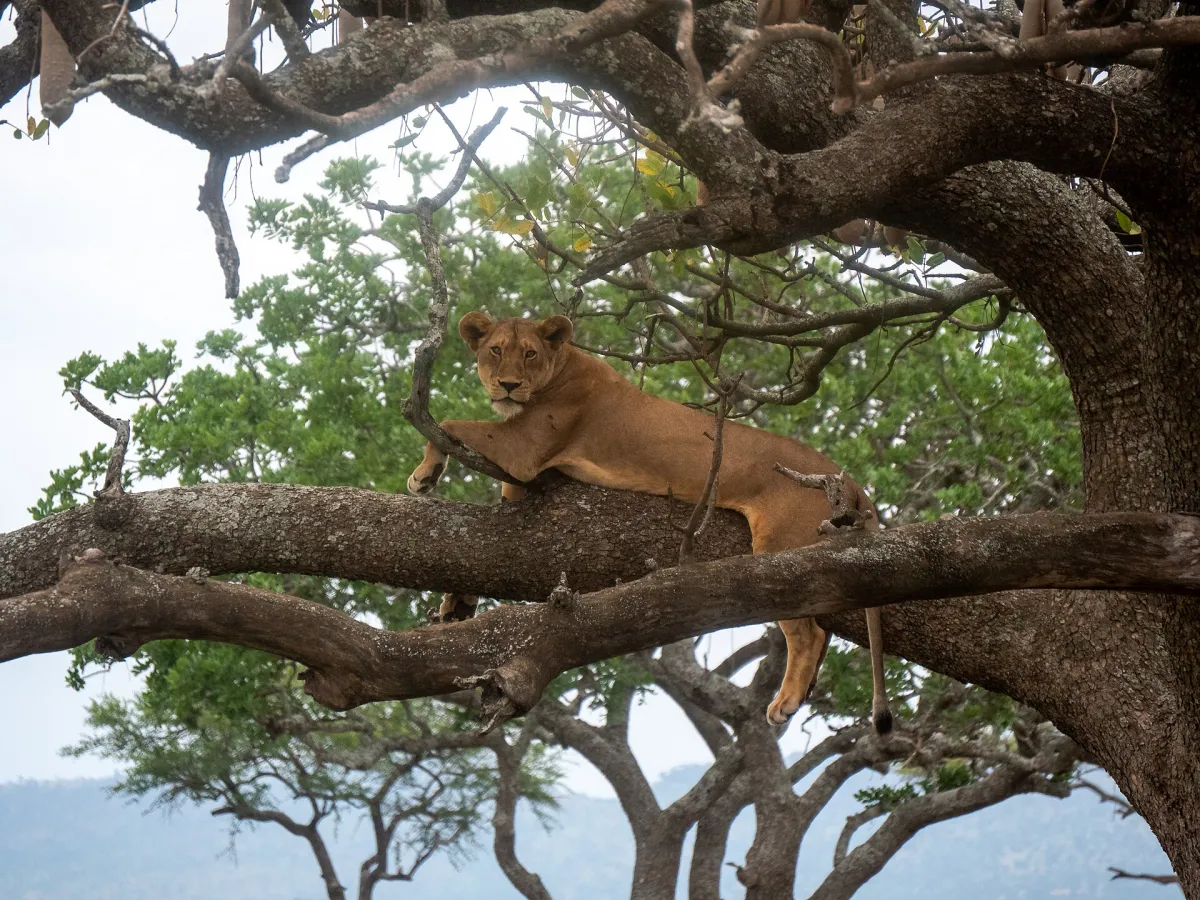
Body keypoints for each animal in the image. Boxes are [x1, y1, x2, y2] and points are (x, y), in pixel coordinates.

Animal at [408, 312, 892, 732]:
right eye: (495, 350)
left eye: (529, 354)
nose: (507, 385)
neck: (560, 368)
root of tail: (845, 478)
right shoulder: (523, 475)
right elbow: (493, 525)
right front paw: (456, 602)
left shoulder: (523, 449)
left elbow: (450, 423)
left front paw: (424, 475)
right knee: (821, 632)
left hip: (781, 549)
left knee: (808, 632)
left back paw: (786, 700)